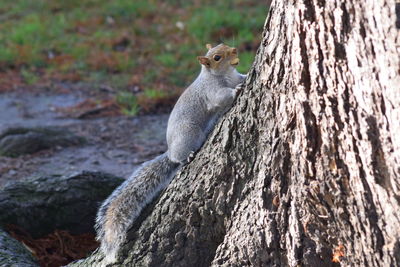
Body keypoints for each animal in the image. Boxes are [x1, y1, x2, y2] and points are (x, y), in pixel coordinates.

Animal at [96, 44, 247, 266]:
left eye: (223, 45)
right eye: (217, 57)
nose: (235, 49)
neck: (223, 74)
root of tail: (171, 151)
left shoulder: (235, 76)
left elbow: (241, 77)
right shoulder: (211, 91)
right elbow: (222, 96)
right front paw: (236, 91)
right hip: (189, 133)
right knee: (179, 158)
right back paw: (186, 157)